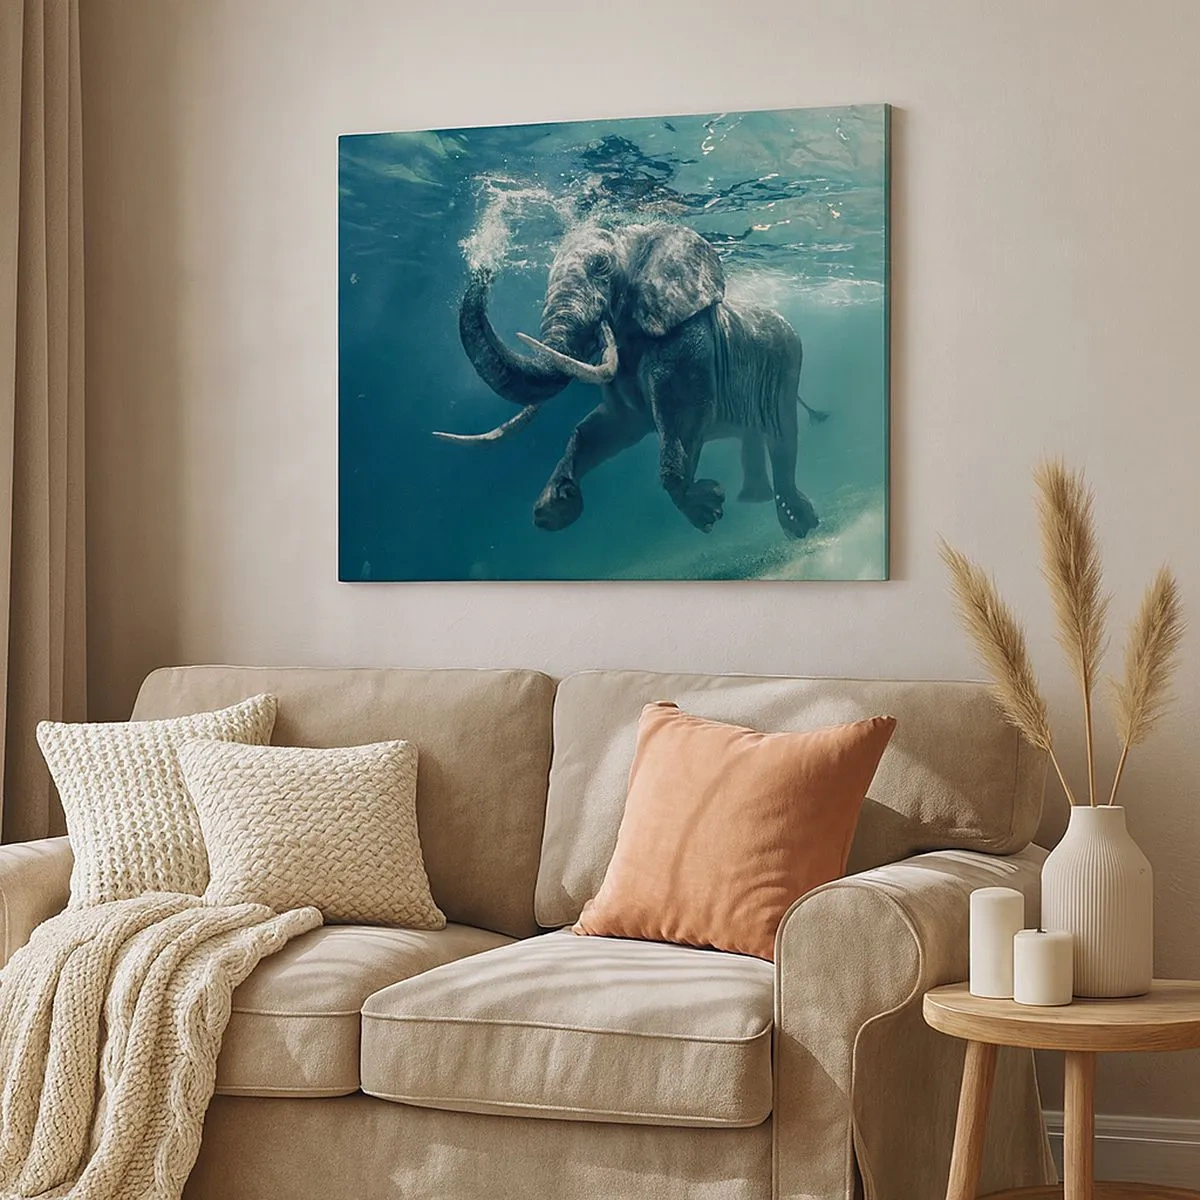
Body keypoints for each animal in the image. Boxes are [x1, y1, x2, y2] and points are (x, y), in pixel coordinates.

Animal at [435, 221, 825, 539]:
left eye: (601, 267)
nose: (485, 266)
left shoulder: (687, 343)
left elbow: (681, 419)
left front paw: (707, 510)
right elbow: (605, 428)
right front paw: (553, 509)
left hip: (789, 366)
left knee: (783, 436)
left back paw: (799, 523)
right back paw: (758, 502)